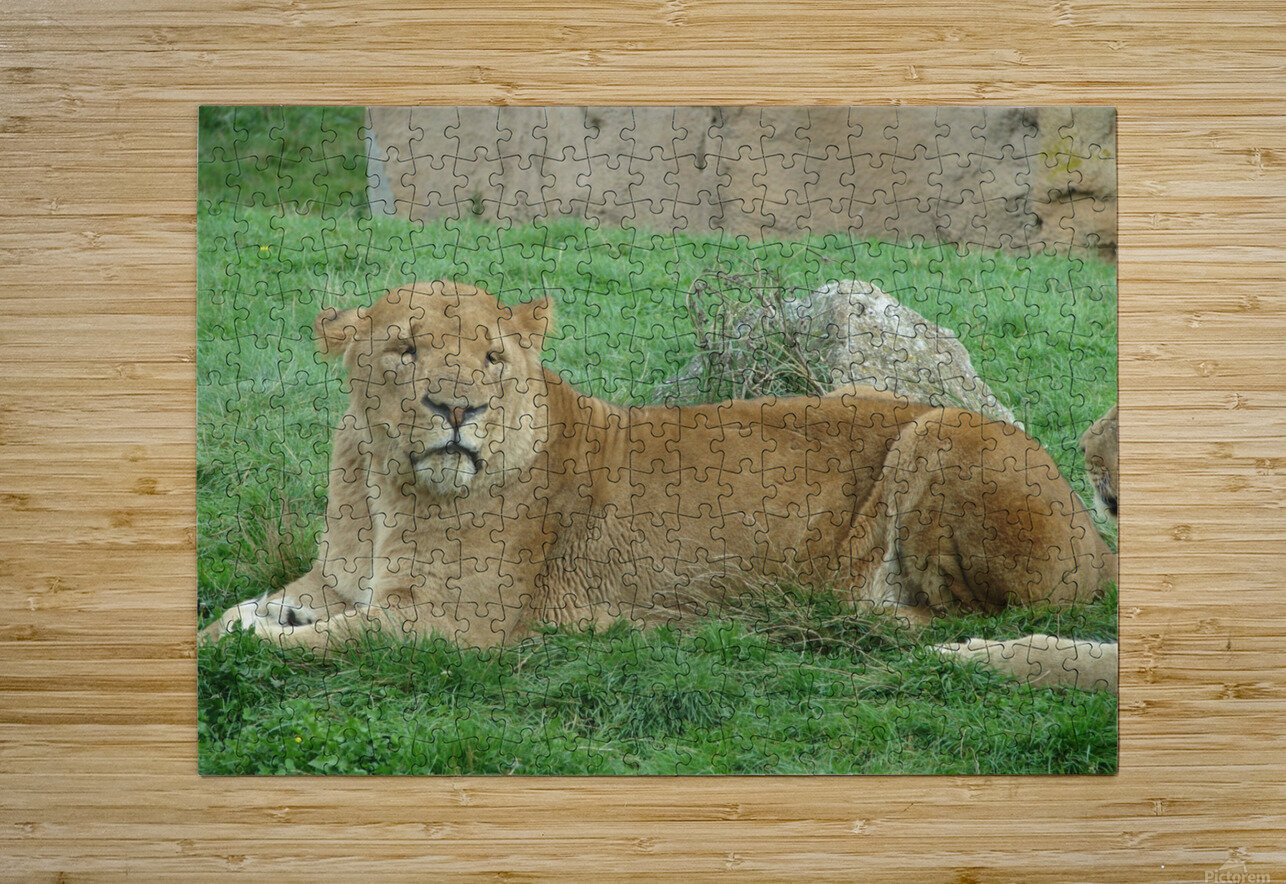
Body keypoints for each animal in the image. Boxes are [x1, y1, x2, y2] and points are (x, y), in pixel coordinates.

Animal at [202, 281, 1117, 655]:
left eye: (492, 358)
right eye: (405, 350)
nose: (458, 409)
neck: (380, 487)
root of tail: (1098, 537)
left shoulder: (451, 621)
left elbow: (296, 646)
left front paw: (259, 643)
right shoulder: (332, 581)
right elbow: (234, 615)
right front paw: (241, 625)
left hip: (941, 431)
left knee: (995, 616)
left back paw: (829, 616)